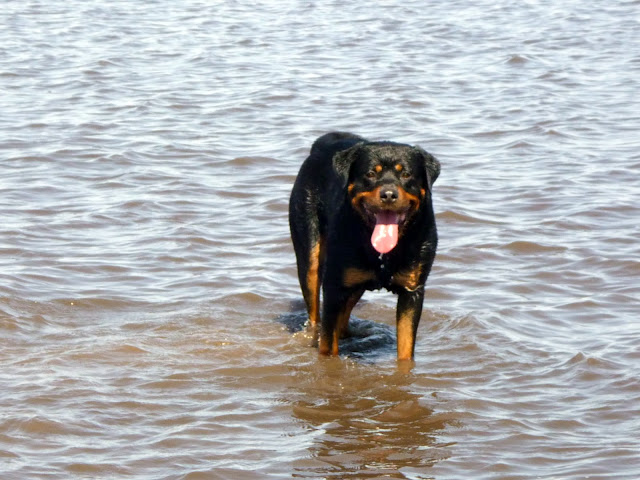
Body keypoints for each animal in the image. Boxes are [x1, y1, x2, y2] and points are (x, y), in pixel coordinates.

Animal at [290, 131, 440, 360]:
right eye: (370, 174)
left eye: (406, 174)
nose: (389, 194)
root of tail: (325, 141)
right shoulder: (334, 286)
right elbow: (327, 345)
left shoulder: (412, 291)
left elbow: (406, 348)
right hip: (310, 256)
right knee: (315, 313)